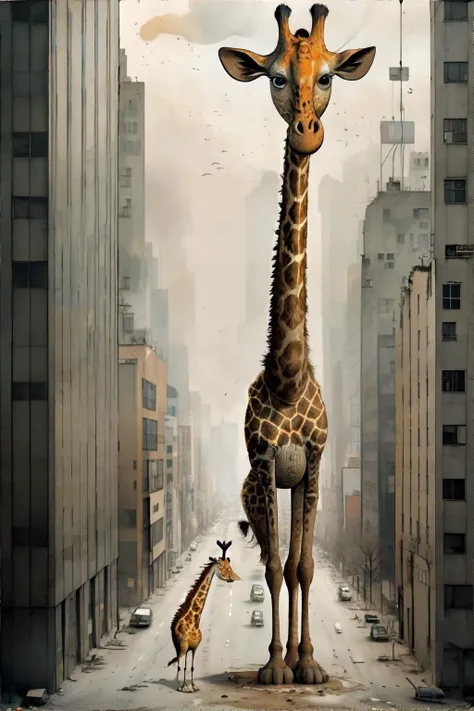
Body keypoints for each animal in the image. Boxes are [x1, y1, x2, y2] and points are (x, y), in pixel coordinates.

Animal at [167, 540, 241, 692]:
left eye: (230, 566)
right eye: (224, 568)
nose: (236, 578)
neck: (194, 621)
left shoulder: (195, 647)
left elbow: (191, 667)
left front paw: (193, 686)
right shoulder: (185, 646)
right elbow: (181, 667)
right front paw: (184, 687)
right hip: (180, 647)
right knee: (178, 664)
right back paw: (179, 685)